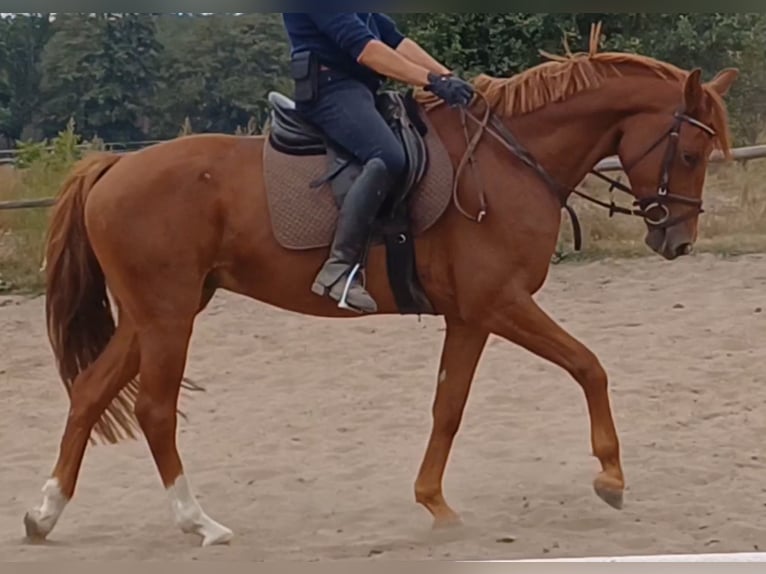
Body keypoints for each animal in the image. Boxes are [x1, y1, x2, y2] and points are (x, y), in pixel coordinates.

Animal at [24, 27, 738, 547]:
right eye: (690, 154)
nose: (677, 240)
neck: (509, 161)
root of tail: (115, 166)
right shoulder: (501, 303)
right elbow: (589, 366)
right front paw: (611, 477)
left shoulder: (471, 316)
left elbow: (449, 406)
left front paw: (435, 504)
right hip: (169, 315)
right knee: (154, 409)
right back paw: (199, 523)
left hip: (153, 314)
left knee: (90, 393)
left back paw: (45, 514)